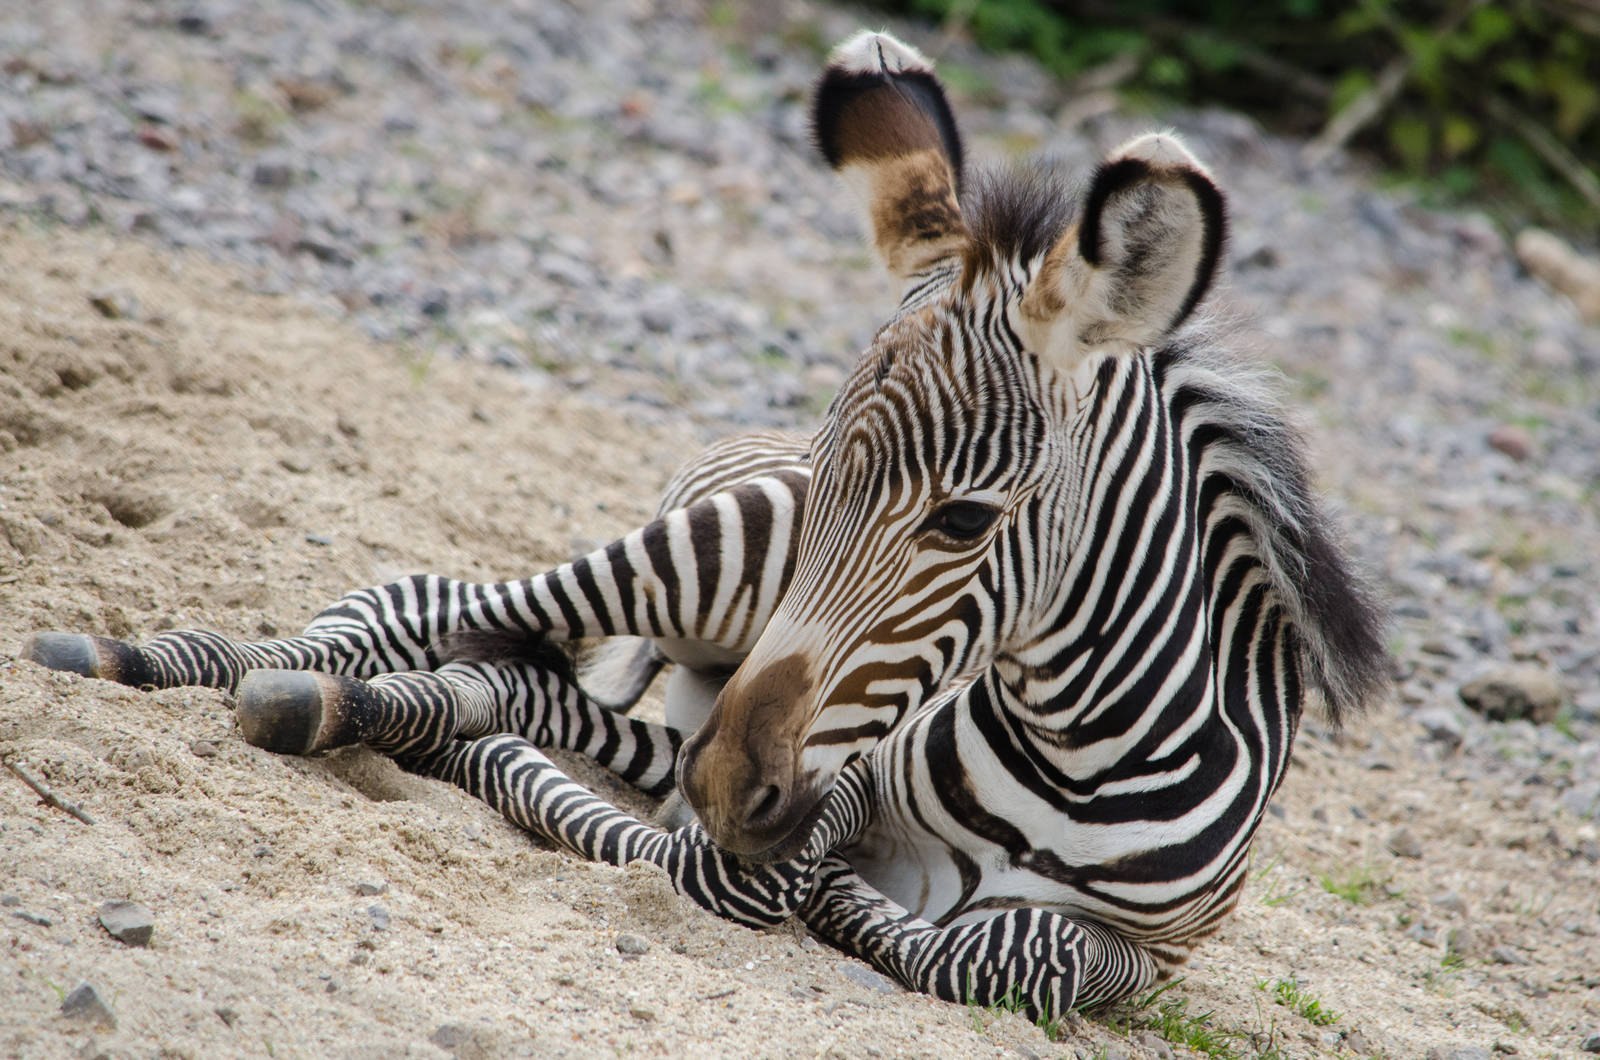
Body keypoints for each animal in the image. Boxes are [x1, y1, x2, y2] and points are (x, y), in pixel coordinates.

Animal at [18, 31, 1382, 1024]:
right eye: (835, 476)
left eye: (962, 519)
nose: (732, 781)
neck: (1077, 756)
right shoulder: (806, 796)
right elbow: (751, 876)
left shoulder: (1150, 959)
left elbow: (993, 954)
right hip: (700, 563)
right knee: (428, 604)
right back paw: (195, 666)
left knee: (517, 679)